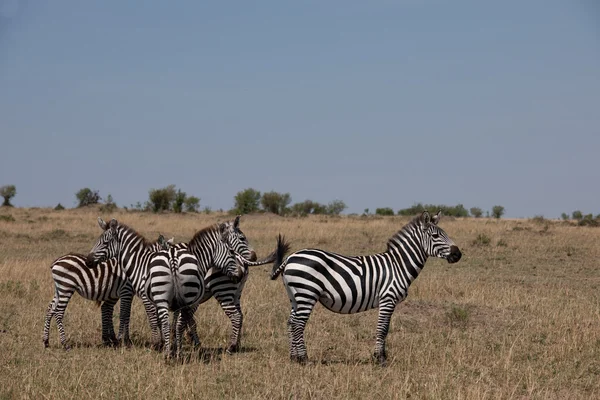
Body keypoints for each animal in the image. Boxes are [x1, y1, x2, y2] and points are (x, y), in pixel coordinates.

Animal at [41, 234, 173, 350]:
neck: (138, 265)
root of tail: (56, 262)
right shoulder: (126, 290)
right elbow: (126, 314)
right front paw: (126, 341)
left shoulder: (128, 293)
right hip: (66, 287)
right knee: (59, 312)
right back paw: (65, 344)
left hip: (59, 289)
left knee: (50, 309)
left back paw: (46, 341)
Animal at [85, 217, 252, 352]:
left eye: (105, 242)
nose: (88, 261)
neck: (140, 263)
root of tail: (243, 263)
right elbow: (173, 321)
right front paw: (171, 342)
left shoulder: (148, 297)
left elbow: (155, 320)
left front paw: (158, 344)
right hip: (234, 294)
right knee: (240, 315)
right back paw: (236, 345)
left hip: (223, 291)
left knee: (235, 316)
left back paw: (231, 347)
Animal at [272, 212, 464, 366]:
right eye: (435, 235)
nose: (458, 254)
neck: (398, 265)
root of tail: (290, 258)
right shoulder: (388, 298)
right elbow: (383, 329)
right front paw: (380, 359)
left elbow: (385, 329)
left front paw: (381, 356)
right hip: (307, 293)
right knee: (298, 324)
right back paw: (304, 360)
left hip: (295, 296)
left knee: (291, 323)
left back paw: (293, 358)